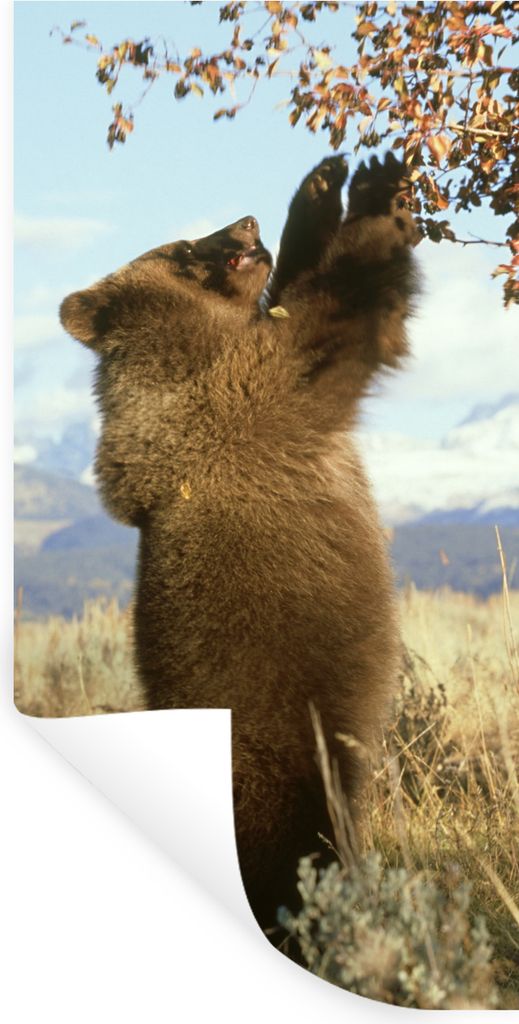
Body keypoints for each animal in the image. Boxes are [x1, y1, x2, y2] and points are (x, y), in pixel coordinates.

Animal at [60, 153, 420, 941]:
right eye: (181, 247)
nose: (244, 222)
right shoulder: (247, 392)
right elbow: (338, 318)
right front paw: (379, 193)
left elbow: (300, 293)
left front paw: (319, 191)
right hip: (277, 755)